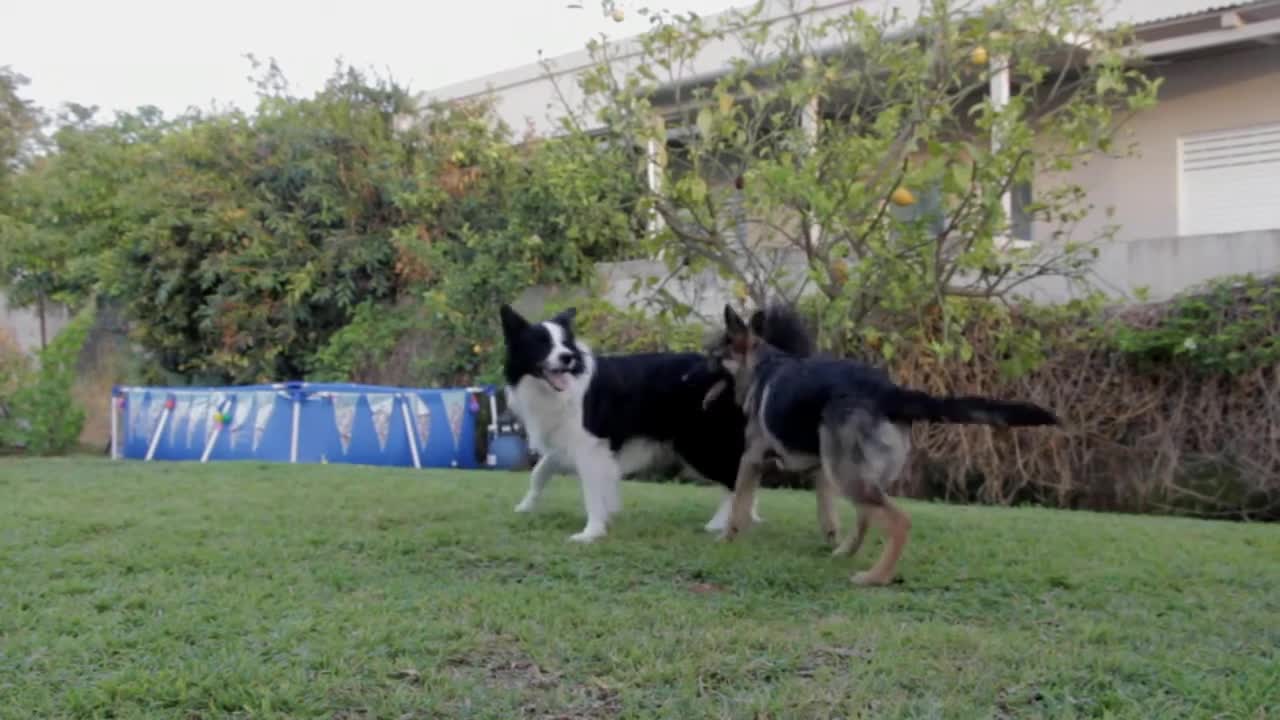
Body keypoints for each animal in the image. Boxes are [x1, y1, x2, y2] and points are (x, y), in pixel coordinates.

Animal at [496, 301, 783, 538]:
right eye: (541, 343)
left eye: (566, 344)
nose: (568, 357)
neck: (559, 389)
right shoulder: (565, 441)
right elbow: (539, 472)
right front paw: (525, 506)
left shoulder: (590, 447)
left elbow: (591, 491)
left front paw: (591, 532)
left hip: (699, 443)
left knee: (734, 478)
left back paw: (722, 524)